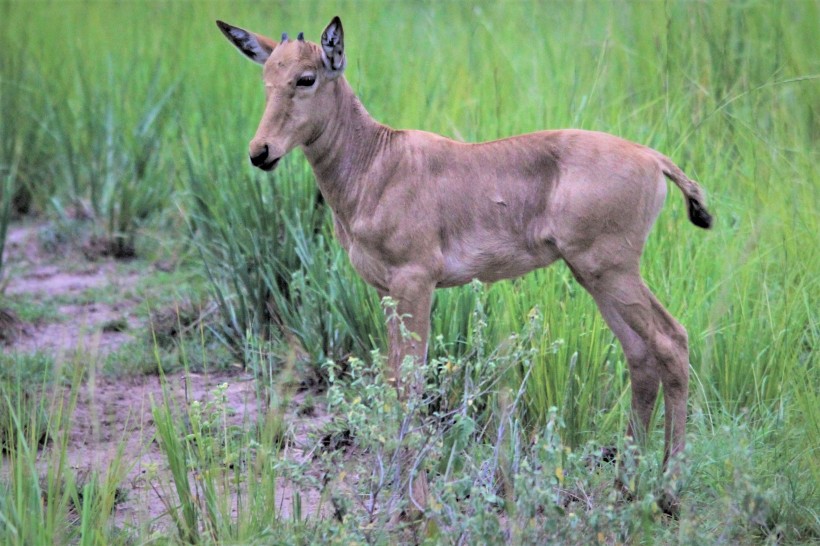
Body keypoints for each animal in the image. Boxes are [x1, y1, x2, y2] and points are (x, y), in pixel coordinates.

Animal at [216, 14, 712, 512]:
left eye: (306, 78)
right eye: (267, 77)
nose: (260, 152)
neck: (379, 160)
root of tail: (654, 159)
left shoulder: (416, 282)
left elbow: (409, 382)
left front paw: (414, 502)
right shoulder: (387, 292)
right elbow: (393, 379)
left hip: (611, 271)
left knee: (671, 341)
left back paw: (668, 491)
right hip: (594, 275)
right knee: (640, 355)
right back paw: (624, 488)